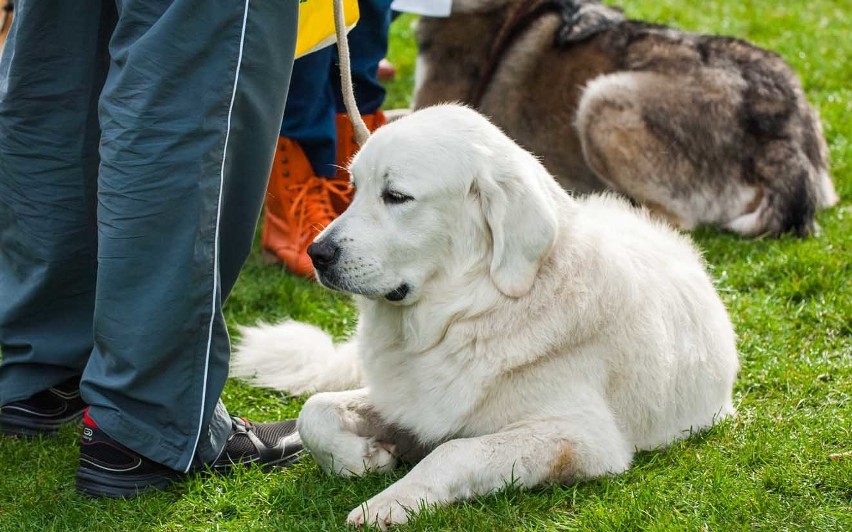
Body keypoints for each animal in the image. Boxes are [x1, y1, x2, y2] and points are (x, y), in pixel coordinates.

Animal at [233, 104, 740, 528]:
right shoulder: (411, 402)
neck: (468, 315)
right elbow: (314, 411)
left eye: (396, 196)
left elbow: (453, 452)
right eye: (353, 192)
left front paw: (390, 502)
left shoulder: (583, 437)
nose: (316, 254)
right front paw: (362, 458)